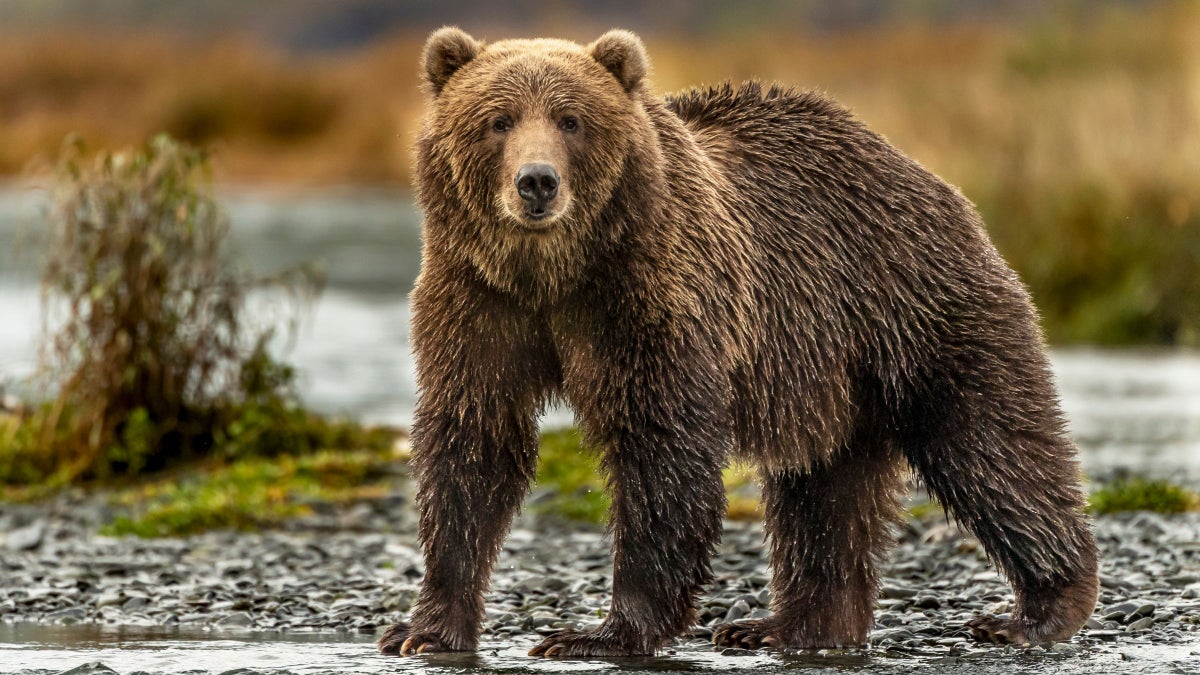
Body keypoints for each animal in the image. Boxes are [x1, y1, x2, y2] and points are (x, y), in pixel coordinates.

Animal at [377, 27, 1099, 658]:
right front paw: (424, 628)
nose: (536, 182)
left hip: (913, 304)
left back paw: (1035, 609)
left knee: (988, 443)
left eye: (571, 119)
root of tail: (925, 175)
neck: (555, 273)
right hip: (828, 373)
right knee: (822, 490)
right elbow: (474, 443)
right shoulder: (478, 301)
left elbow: (660, 448)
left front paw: (598, 633)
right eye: (498, 120)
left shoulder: (648, 299)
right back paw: (788, 624)